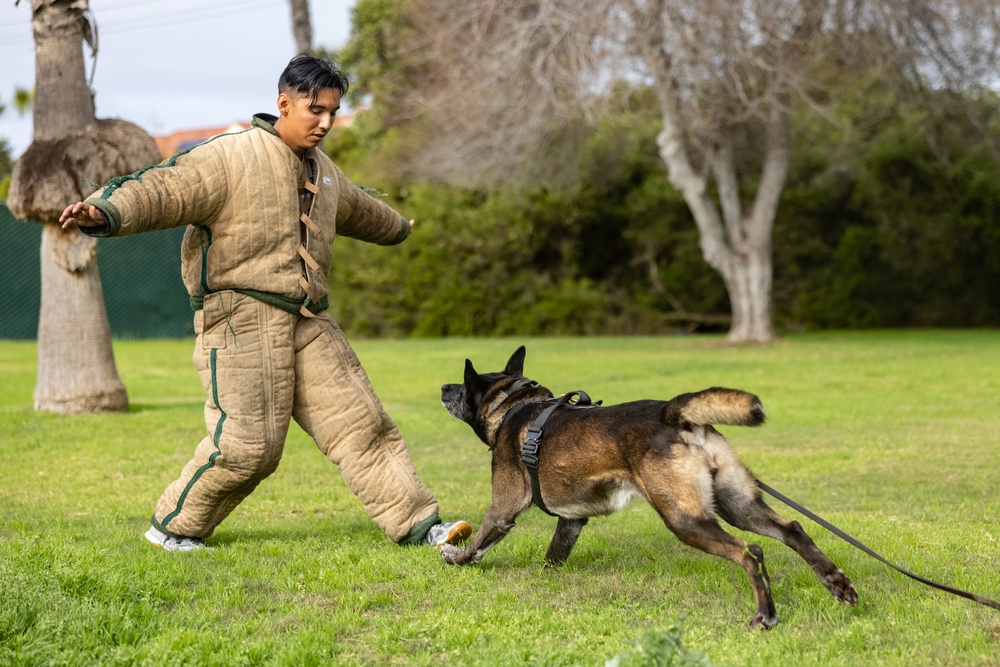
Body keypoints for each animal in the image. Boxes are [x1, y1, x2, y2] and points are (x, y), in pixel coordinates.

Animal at [440, 348, 860, 628]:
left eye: (461, 388)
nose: (442, 386)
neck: (516, 406)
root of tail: (673, 414)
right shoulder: (571, 522)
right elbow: (554, 555)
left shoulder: (504, 508)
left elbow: (479, 542)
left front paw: (456, 557)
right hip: (738, 505)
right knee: (793, 530)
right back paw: (837, 584)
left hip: (684, 519)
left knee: (749, 552)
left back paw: (766, 615)